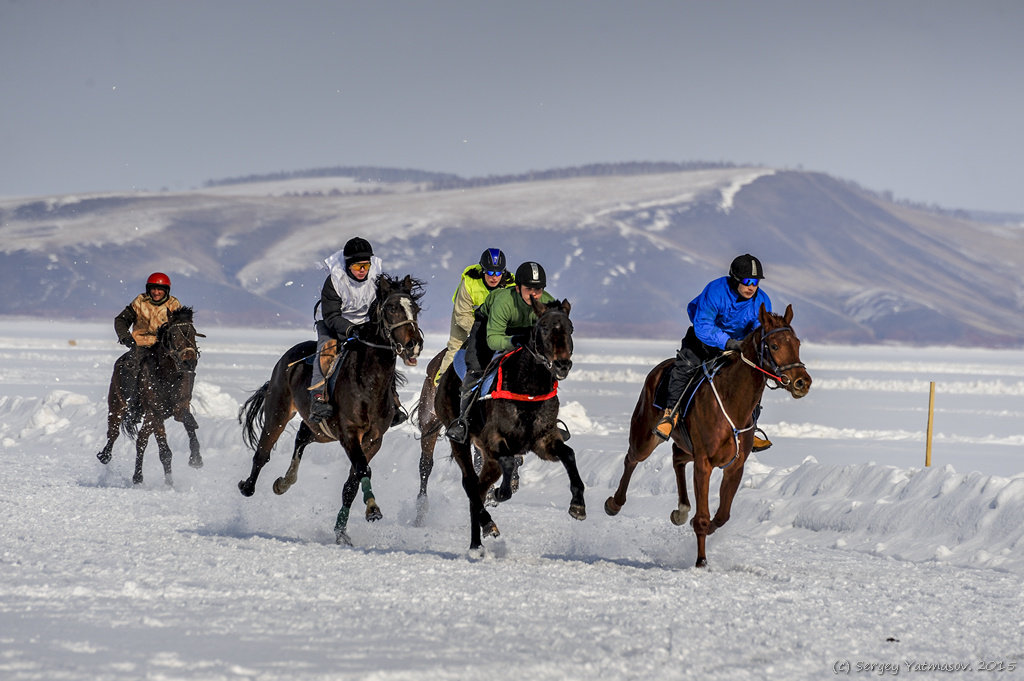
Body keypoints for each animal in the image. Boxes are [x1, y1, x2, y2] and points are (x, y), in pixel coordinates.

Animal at [96, 305, 204, 485]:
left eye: (193, 333)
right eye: (173, 335)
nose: (189, 361)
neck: (167, 376)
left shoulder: (180, 407)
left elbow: (189, 423)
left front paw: (196, 459)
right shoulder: (155, 413)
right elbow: (164, 452)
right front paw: (168, 482)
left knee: (141, 439)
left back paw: (139, 476)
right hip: (117, 404)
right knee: (114, 432)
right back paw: (107, 457)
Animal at [238, 274, 423, 544]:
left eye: (415, 308)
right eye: (391, 308)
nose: (414, 344)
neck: (368, 383)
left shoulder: (373, 439)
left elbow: (352, 482)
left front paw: (342, 532)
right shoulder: (349, 434)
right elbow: (362, 469)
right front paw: (373, 509)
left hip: (321, 430)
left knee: (301, 437)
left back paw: (284, 482)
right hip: (279, 411)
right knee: (263, 451)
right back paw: (248, 486)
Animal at [436, 296, 589, 552]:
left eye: (570, 328)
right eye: (543, 327)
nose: (562, 365)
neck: (528, 388)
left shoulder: (543, 440)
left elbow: (568, 454)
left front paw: (578, 505)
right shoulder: (493, 438)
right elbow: (507, 462)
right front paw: (501, 492)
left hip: (489, 460)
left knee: (479, 488)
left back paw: (478, 539)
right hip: (460, 440)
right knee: (471, 484)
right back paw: (485, 526)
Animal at [602, 303, 811, 569]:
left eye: (797, 343)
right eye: (774, 346)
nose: (802, 382)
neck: (733, 401)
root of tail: (659, 368)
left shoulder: (735, 466)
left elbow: (722, 515)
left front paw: (701, 525)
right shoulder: (704, 462)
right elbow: (703, 516)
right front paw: (701, 560)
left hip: (685, 445)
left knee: (677, 458)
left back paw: (681, 510)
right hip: (645, 435)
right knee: (632, 458)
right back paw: (614, 503)